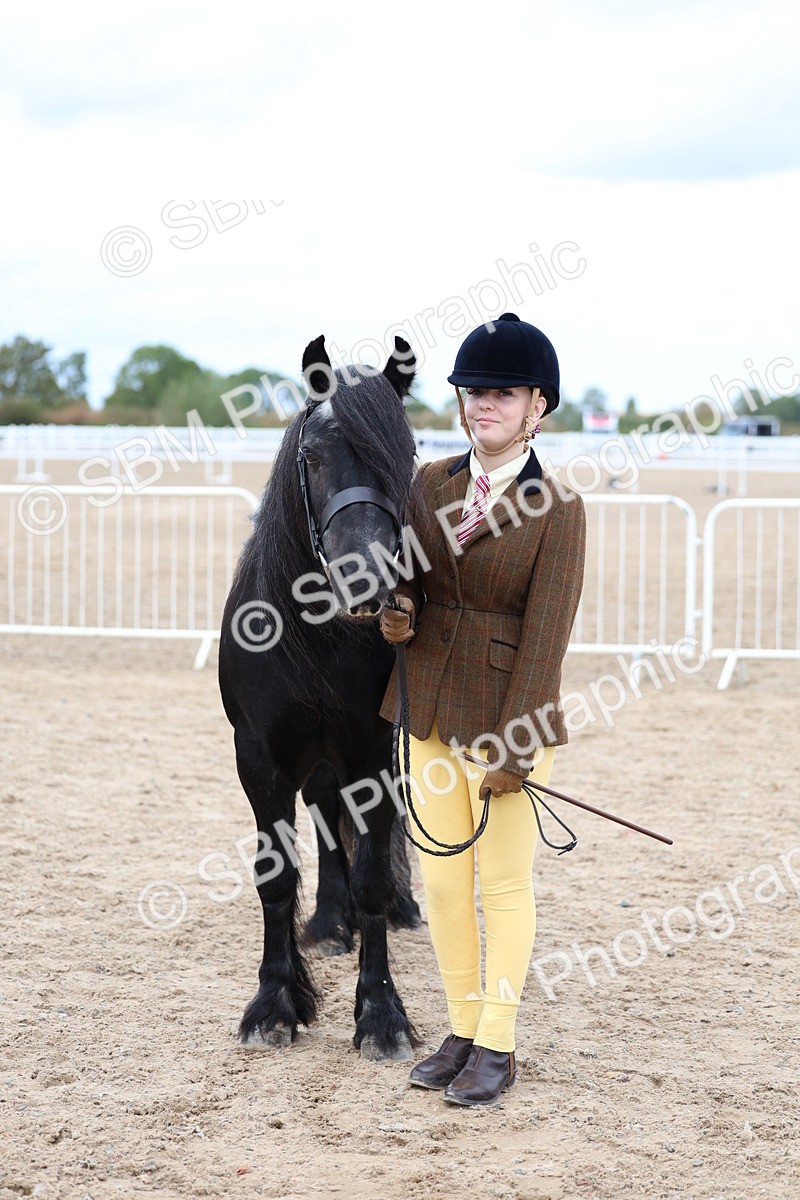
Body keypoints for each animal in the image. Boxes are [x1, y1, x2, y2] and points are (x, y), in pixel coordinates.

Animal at [218, 333, 422, 1061]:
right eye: (311, 455)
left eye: (406, 452)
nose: (366, 575)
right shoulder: (258, 757)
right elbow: (276, 876)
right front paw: (274, 1004)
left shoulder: (370, 752)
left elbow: (372, 874)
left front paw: (381, 1016)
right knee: (325, 813)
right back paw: (331, 923)